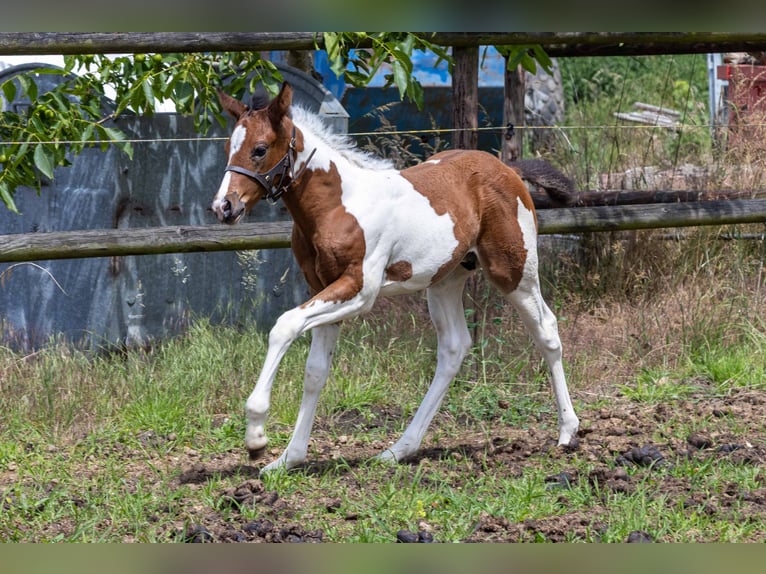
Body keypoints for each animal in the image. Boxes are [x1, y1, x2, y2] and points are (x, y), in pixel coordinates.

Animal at [211, 82, 579, 474]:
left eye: (260, 149)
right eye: (228, 147)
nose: (224, 207)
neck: (337, 205)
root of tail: (507, 168)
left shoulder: (359, 290)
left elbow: (284, 326)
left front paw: (256, 438)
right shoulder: (323, 287)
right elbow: (315, 372)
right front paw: (288, 458)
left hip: (514, 271)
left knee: (546, 331)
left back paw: (567, 432)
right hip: (445, 279)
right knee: (454, 348)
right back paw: (399, 449)